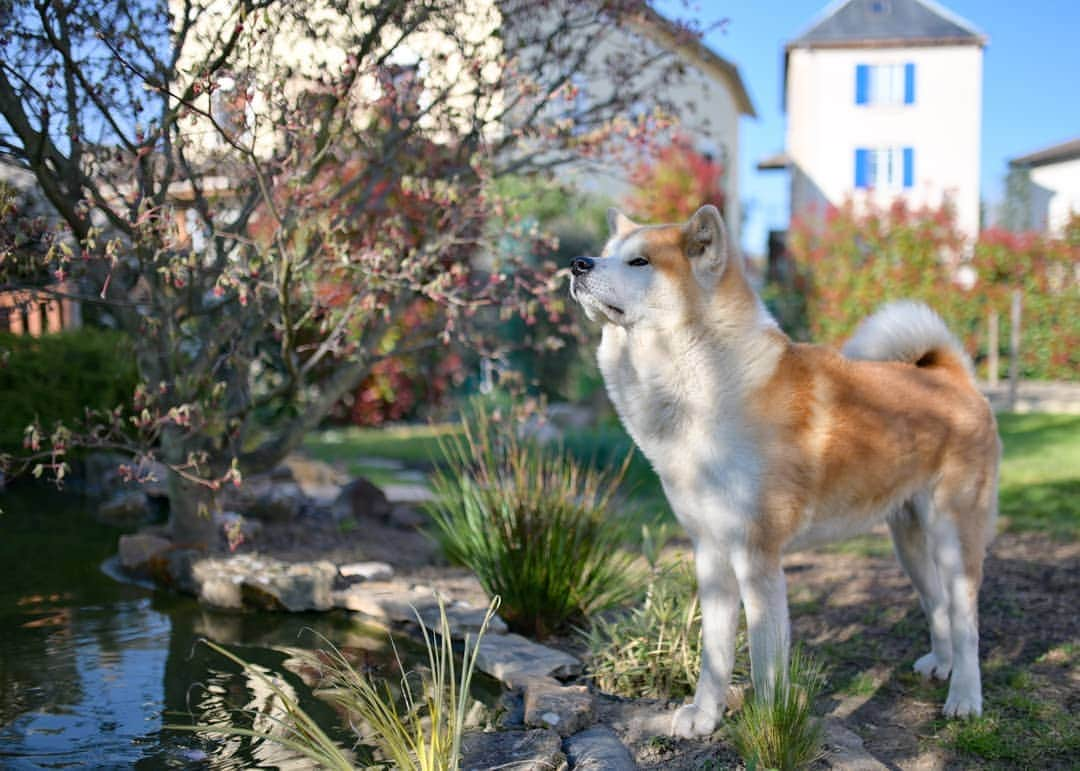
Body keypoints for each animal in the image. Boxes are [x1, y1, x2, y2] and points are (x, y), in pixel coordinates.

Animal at [570, 207, 997, 734]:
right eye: (607, 253)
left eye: (639, 261)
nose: (577, 264)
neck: (708, 385)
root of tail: (952, 377)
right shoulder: (711, 552)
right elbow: (714, 654)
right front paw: (704, 718)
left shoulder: (757, 555)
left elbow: (763, 659)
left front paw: (772, 726)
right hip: (910, 543)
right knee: (937, 606)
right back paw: (942, 664)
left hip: (953, 538)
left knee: (967, 621)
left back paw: (966, 698)